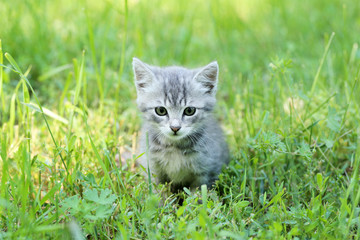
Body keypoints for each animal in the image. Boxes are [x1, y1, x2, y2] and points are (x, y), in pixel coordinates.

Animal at [133, 58, 231, 193]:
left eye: (189, 110)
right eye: (161, 110)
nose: (175, 127)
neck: (174, 147)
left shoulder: (206, 172)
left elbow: (199, 194)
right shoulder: (152, 168)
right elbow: (157, 191)